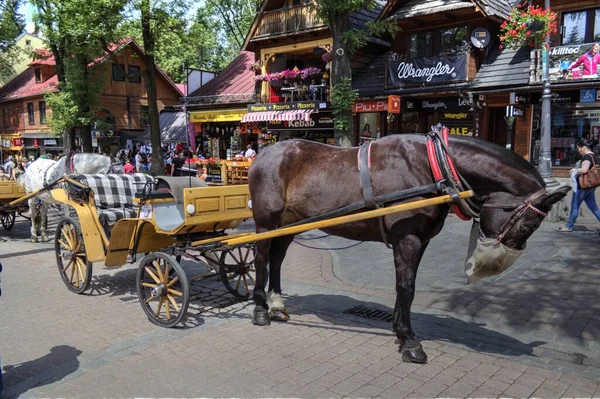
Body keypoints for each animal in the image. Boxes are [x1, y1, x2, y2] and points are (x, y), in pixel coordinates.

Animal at [247, 134, 568, 362]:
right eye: (528, 225)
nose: (497, 264)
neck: (433, 167)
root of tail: (263, 153)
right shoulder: (408, 239)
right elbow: (407, 287)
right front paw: (409, 340)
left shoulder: (420, 241)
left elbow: (405, 286)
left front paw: (399, 331)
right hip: (266, 221)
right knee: (262, 258)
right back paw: (261, 309)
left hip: (290, 223)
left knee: (277, 258)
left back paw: (277, 304)